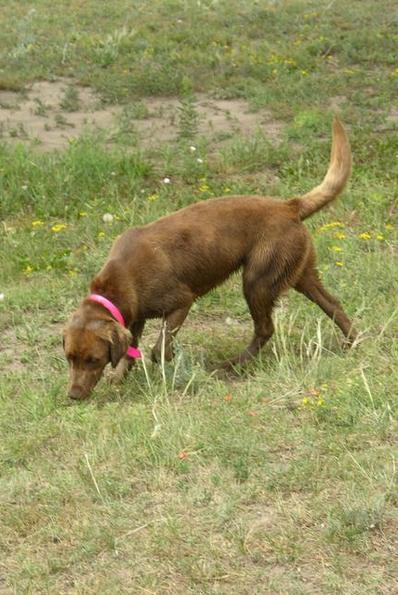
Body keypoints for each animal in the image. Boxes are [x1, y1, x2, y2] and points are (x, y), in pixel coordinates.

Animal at [63, 117, 356, 400]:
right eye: (69, 358)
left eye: (93, 359)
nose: (74, 396)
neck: (120, 280)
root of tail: (289, 206)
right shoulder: (135, 319)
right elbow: (130, 351)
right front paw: (119, 378)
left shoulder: (181, 303)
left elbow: (159, 349)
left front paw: (169, 367)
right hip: (300, 276)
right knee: (334, 305)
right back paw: (352, 343)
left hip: (257, 282)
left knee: (265, 328)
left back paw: (232, 365)